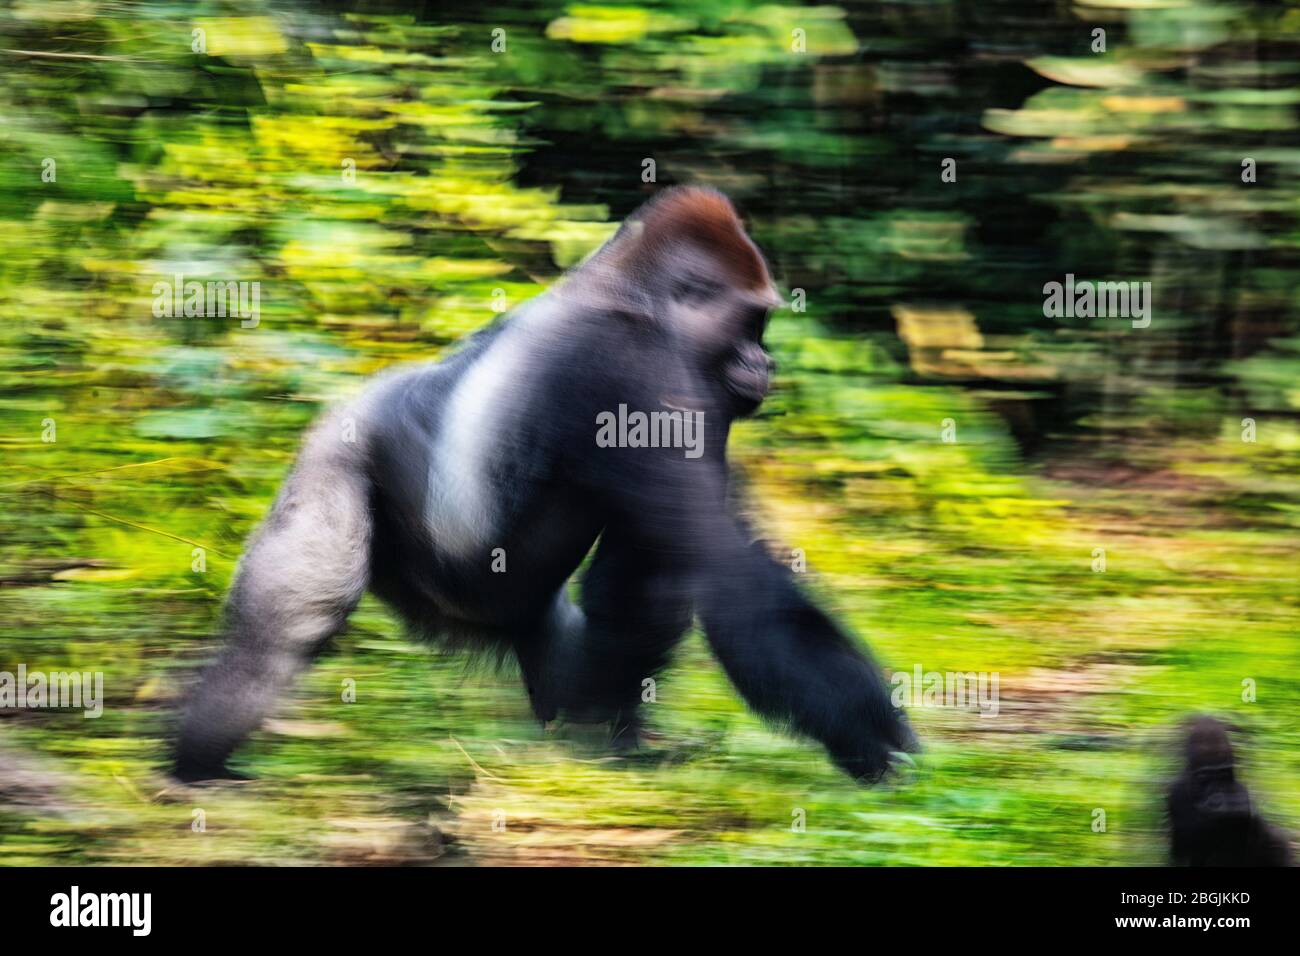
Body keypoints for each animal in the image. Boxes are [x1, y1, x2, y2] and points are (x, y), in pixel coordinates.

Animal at [175, 184, 915, 785]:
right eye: (754, 320)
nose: (766, 362)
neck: (630, 291)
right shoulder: (632, 369)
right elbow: (727, 577)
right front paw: (875, 742)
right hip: (338, 460)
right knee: (284, 631)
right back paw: (199, 761)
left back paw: (595, 729)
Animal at [1170, 717, 1289, 868]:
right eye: (1205, 775)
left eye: (1223, 773)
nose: (1218, 790)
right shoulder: (1176, 792)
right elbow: (1183, 845)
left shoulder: (1240, 788)